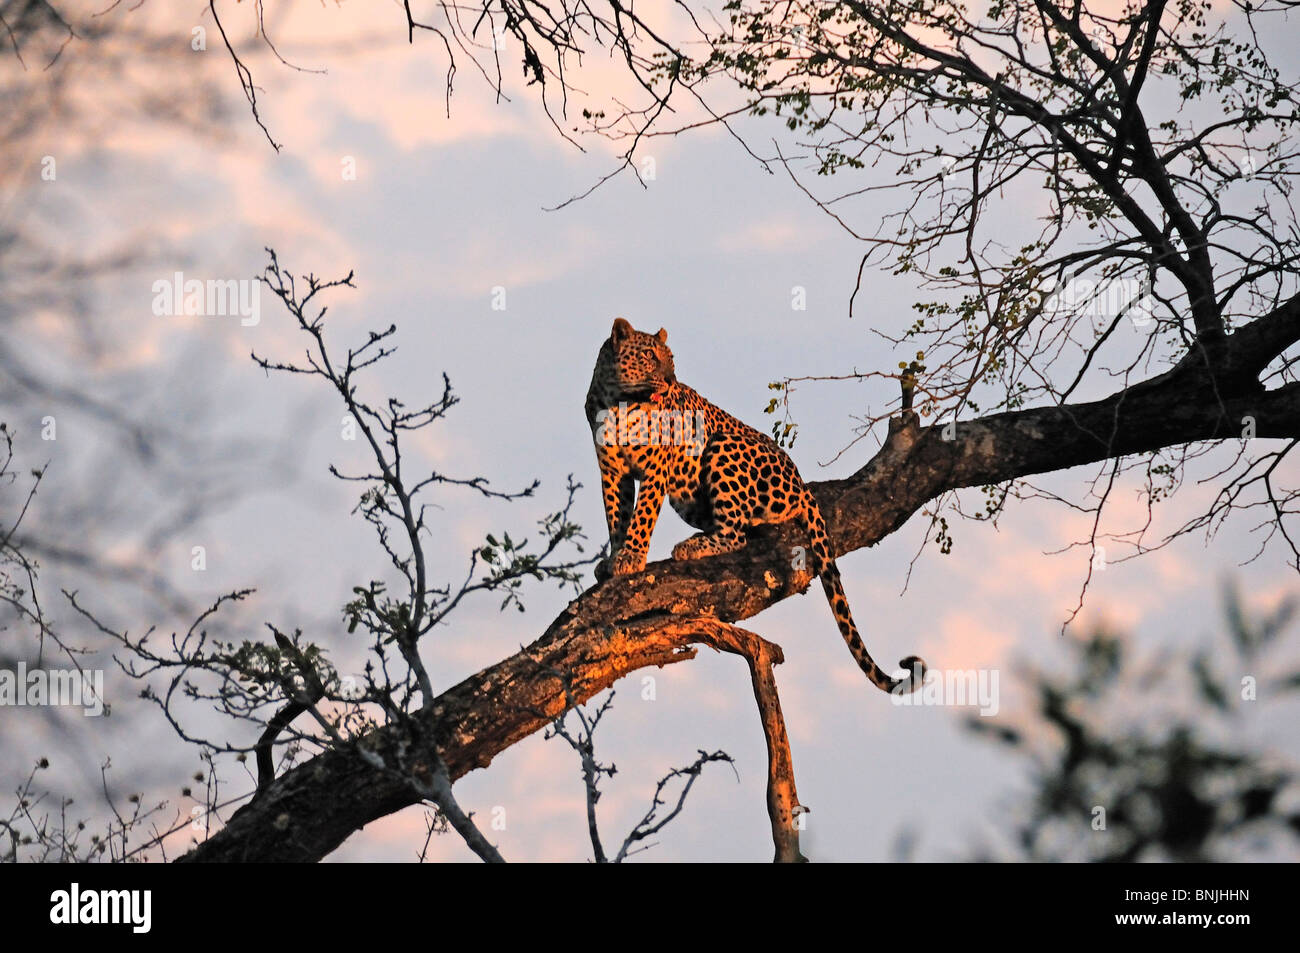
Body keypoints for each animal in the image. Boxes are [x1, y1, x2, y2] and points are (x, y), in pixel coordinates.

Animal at [590, 315, 925, 696]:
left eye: (670, 357)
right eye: (649, 355)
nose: (672, 380)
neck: (618, 401)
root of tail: (802, 484)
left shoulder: (657, 463)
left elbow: (642, 516)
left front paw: (631, 557)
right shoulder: (612, 470)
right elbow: (617, 516)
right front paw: (614, 559)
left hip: (723, 444)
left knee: (736, 534)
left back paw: (693, 547)